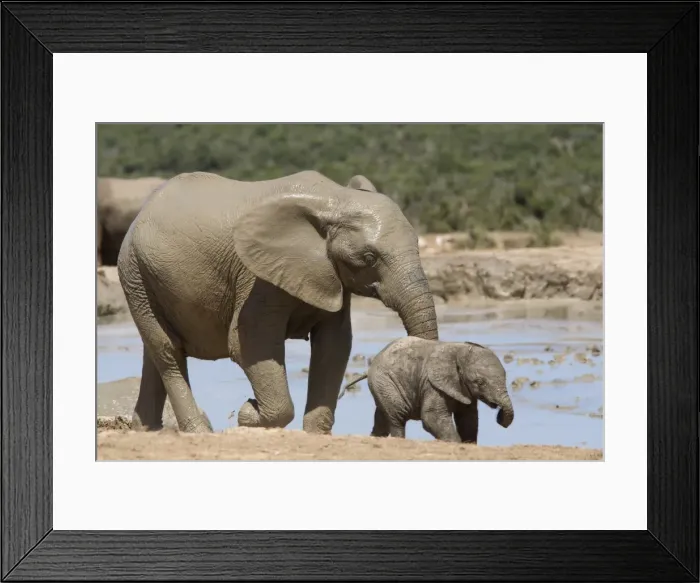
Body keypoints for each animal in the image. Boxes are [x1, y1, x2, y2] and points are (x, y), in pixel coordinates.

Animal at [117, 170, 439, 434]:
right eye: (369, 258)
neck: (334, 199)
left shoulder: (330, 274)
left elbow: (334, 345)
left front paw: (314, 433)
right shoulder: (256, 278)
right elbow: (249, 343)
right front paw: (248, 413)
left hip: (144, 277)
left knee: (155, 351)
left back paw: (146, 429)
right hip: (135, 273)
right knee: (168, 352)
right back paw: (197, 431)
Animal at [339, 337, 514, 443]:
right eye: (479, 382)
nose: (499, 416)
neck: (459, 351)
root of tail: (370, 367)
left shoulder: (463, 389)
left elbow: (468, 419)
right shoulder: (432, 384)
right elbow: (431, 417)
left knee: (382, 418)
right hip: (385, 381)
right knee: (397, 416)